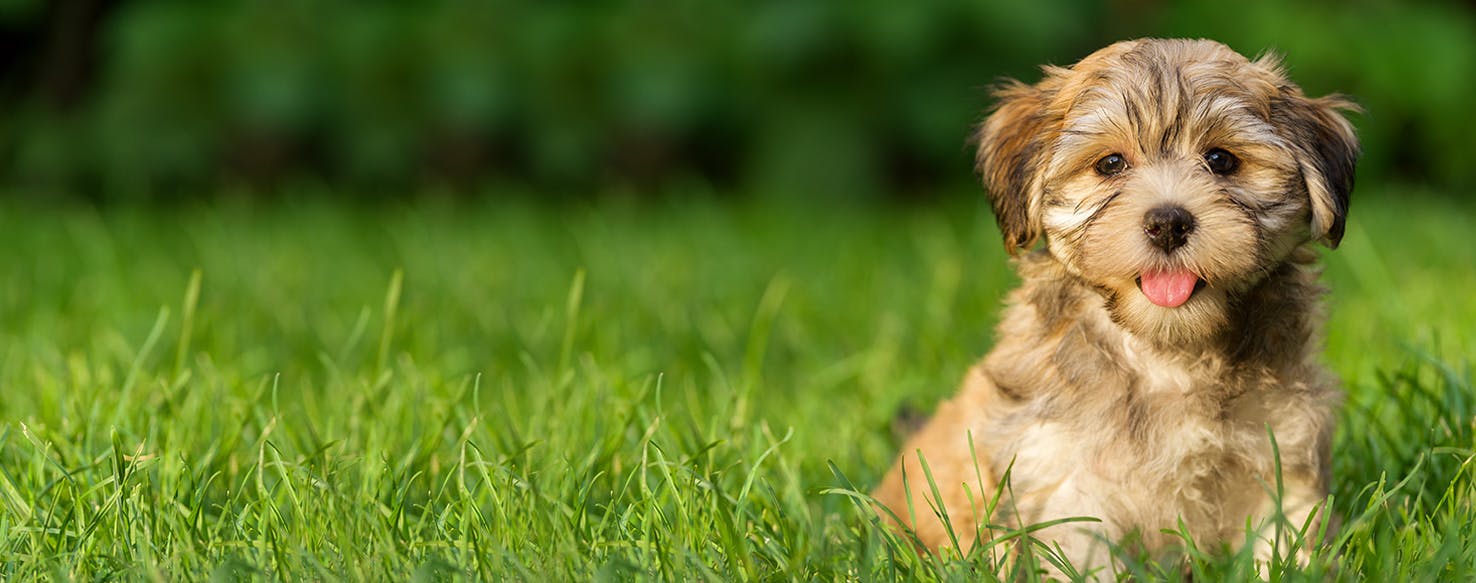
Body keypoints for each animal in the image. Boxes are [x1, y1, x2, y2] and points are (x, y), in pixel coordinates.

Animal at [873, 38, 1357, 578]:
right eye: (1109, 164)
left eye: (1220, 159)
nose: (1168, 222)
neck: (1166, 352)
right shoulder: (1067, 475)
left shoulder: (1281, 453)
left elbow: (1282, 541)